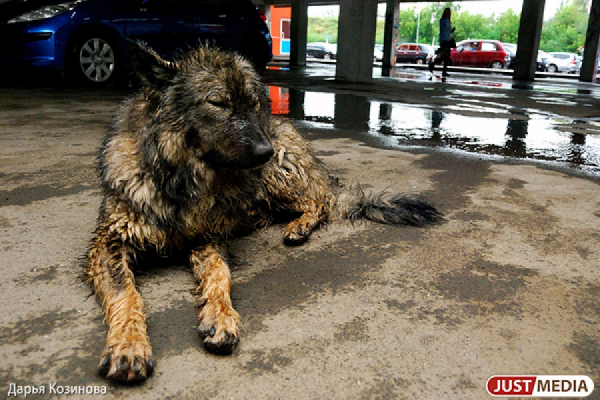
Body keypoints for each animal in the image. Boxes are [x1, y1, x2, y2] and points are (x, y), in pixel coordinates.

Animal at [85, 42, 440, 382]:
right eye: (218, 103)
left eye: (254, 104)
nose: (264, 151)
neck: (181, 180)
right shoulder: (109, 243)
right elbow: (126, 294)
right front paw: (129, 344)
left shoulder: (207, 236)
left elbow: (221, 275)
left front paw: (221, 316)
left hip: (278, 175)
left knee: (320, 203)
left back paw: (299, 226)